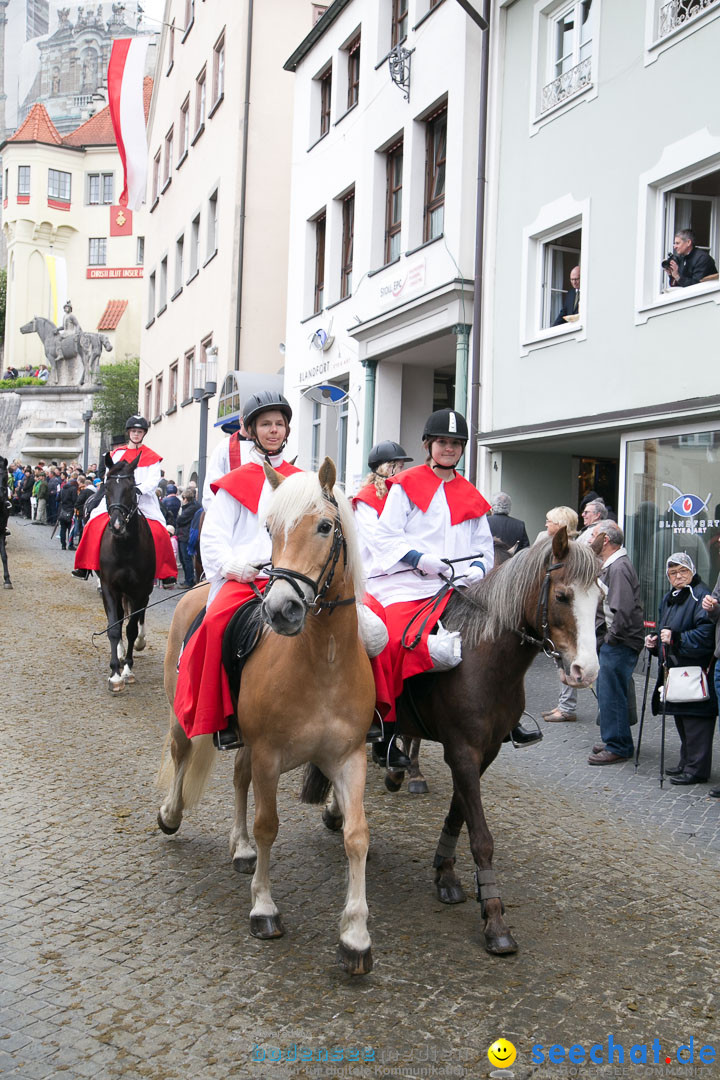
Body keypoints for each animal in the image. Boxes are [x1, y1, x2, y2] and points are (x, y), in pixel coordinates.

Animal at [157, 460, 377, 976]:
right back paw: (171, 815)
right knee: (181, 754)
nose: (281, 609)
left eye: (325, 526)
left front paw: (355, 935)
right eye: (269, 529)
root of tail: (197, 589)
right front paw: (263, 907)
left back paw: (239, 848)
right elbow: (268, 825)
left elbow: (356, 836)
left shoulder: (349, 757)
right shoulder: (270, 756)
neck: (323, 663)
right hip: (185, 714)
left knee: (238, 779)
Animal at [358, 527, 600, 959]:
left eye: (600, 598)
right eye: (562, 596)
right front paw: (495, 919)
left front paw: (445, 873)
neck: (480, 657)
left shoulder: (483, 752)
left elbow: (459, 815)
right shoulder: (462, 751)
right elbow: (482, 838)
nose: (585, 671)